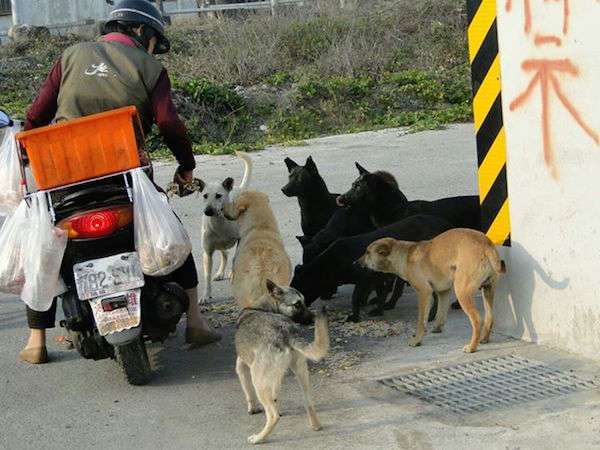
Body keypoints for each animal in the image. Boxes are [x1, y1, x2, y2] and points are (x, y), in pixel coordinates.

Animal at [198, 150, 252, 302]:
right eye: (205, 196)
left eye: (218, 195)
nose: (208, 211)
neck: (220, 222)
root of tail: (238, 188)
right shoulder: (207, 252)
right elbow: (207, 275)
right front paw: (206, 295)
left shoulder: (239, 239)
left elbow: (235, 259)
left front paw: (233, 275)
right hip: (220, 244)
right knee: (225, 254)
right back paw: (220, 273)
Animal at [236, 280, 330, 444]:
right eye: (298, 304)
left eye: (303, 302)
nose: (313, 318)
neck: (261, 308)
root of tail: (286, 330)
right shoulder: (277, 375)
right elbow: (276, 395)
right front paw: (277, 404)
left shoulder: (241, 366)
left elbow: (248, 393)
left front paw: (252, 409)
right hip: (301, 373)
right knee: (309, 403)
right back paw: (316, 426)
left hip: (257, 379)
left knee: (272, 416)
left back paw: (259, 437)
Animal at [290, 214, 450, 320]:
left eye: (301, 287)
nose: (296, 318)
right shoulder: (377, 279)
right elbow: (381, 294)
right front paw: (378, 310)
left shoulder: (364, 279)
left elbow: (355, 298)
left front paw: (354, 317)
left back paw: (432, 315)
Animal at [358, 230, 504, 354]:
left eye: (367, 252)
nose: (355, 263)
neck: (405, 255)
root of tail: (486, 246)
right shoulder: (443, 292)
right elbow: (441, 313)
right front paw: (437, 328)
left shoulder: (424, 292)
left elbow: (421, 321)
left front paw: (417, 340)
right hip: (488, 290)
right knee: (489, 317)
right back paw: (483, 339)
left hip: (462, 292)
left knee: (477, 320)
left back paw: (472, 347)